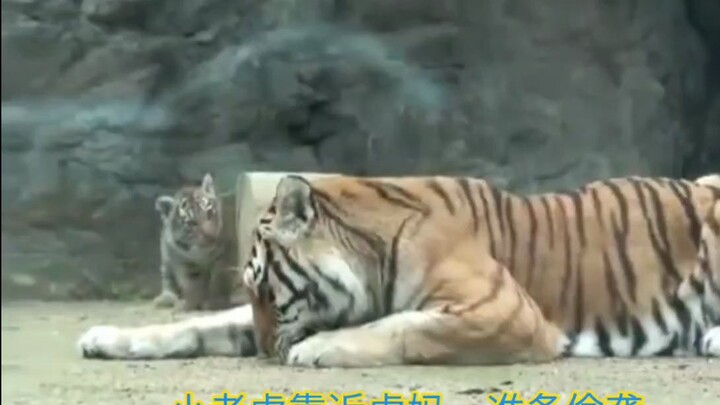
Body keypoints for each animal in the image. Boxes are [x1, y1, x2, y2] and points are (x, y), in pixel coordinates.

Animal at [153, 173, 247, 311]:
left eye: (209, 213)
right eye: (191, 223)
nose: (212, 237)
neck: (201, 253)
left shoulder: (225, 256)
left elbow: (218, 280)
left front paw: (216, 302)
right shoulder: (185, 263)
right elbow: (192, 284)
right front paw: (190, 305)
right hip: (166, 261)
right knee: (167, 280)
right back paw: (166, 299)